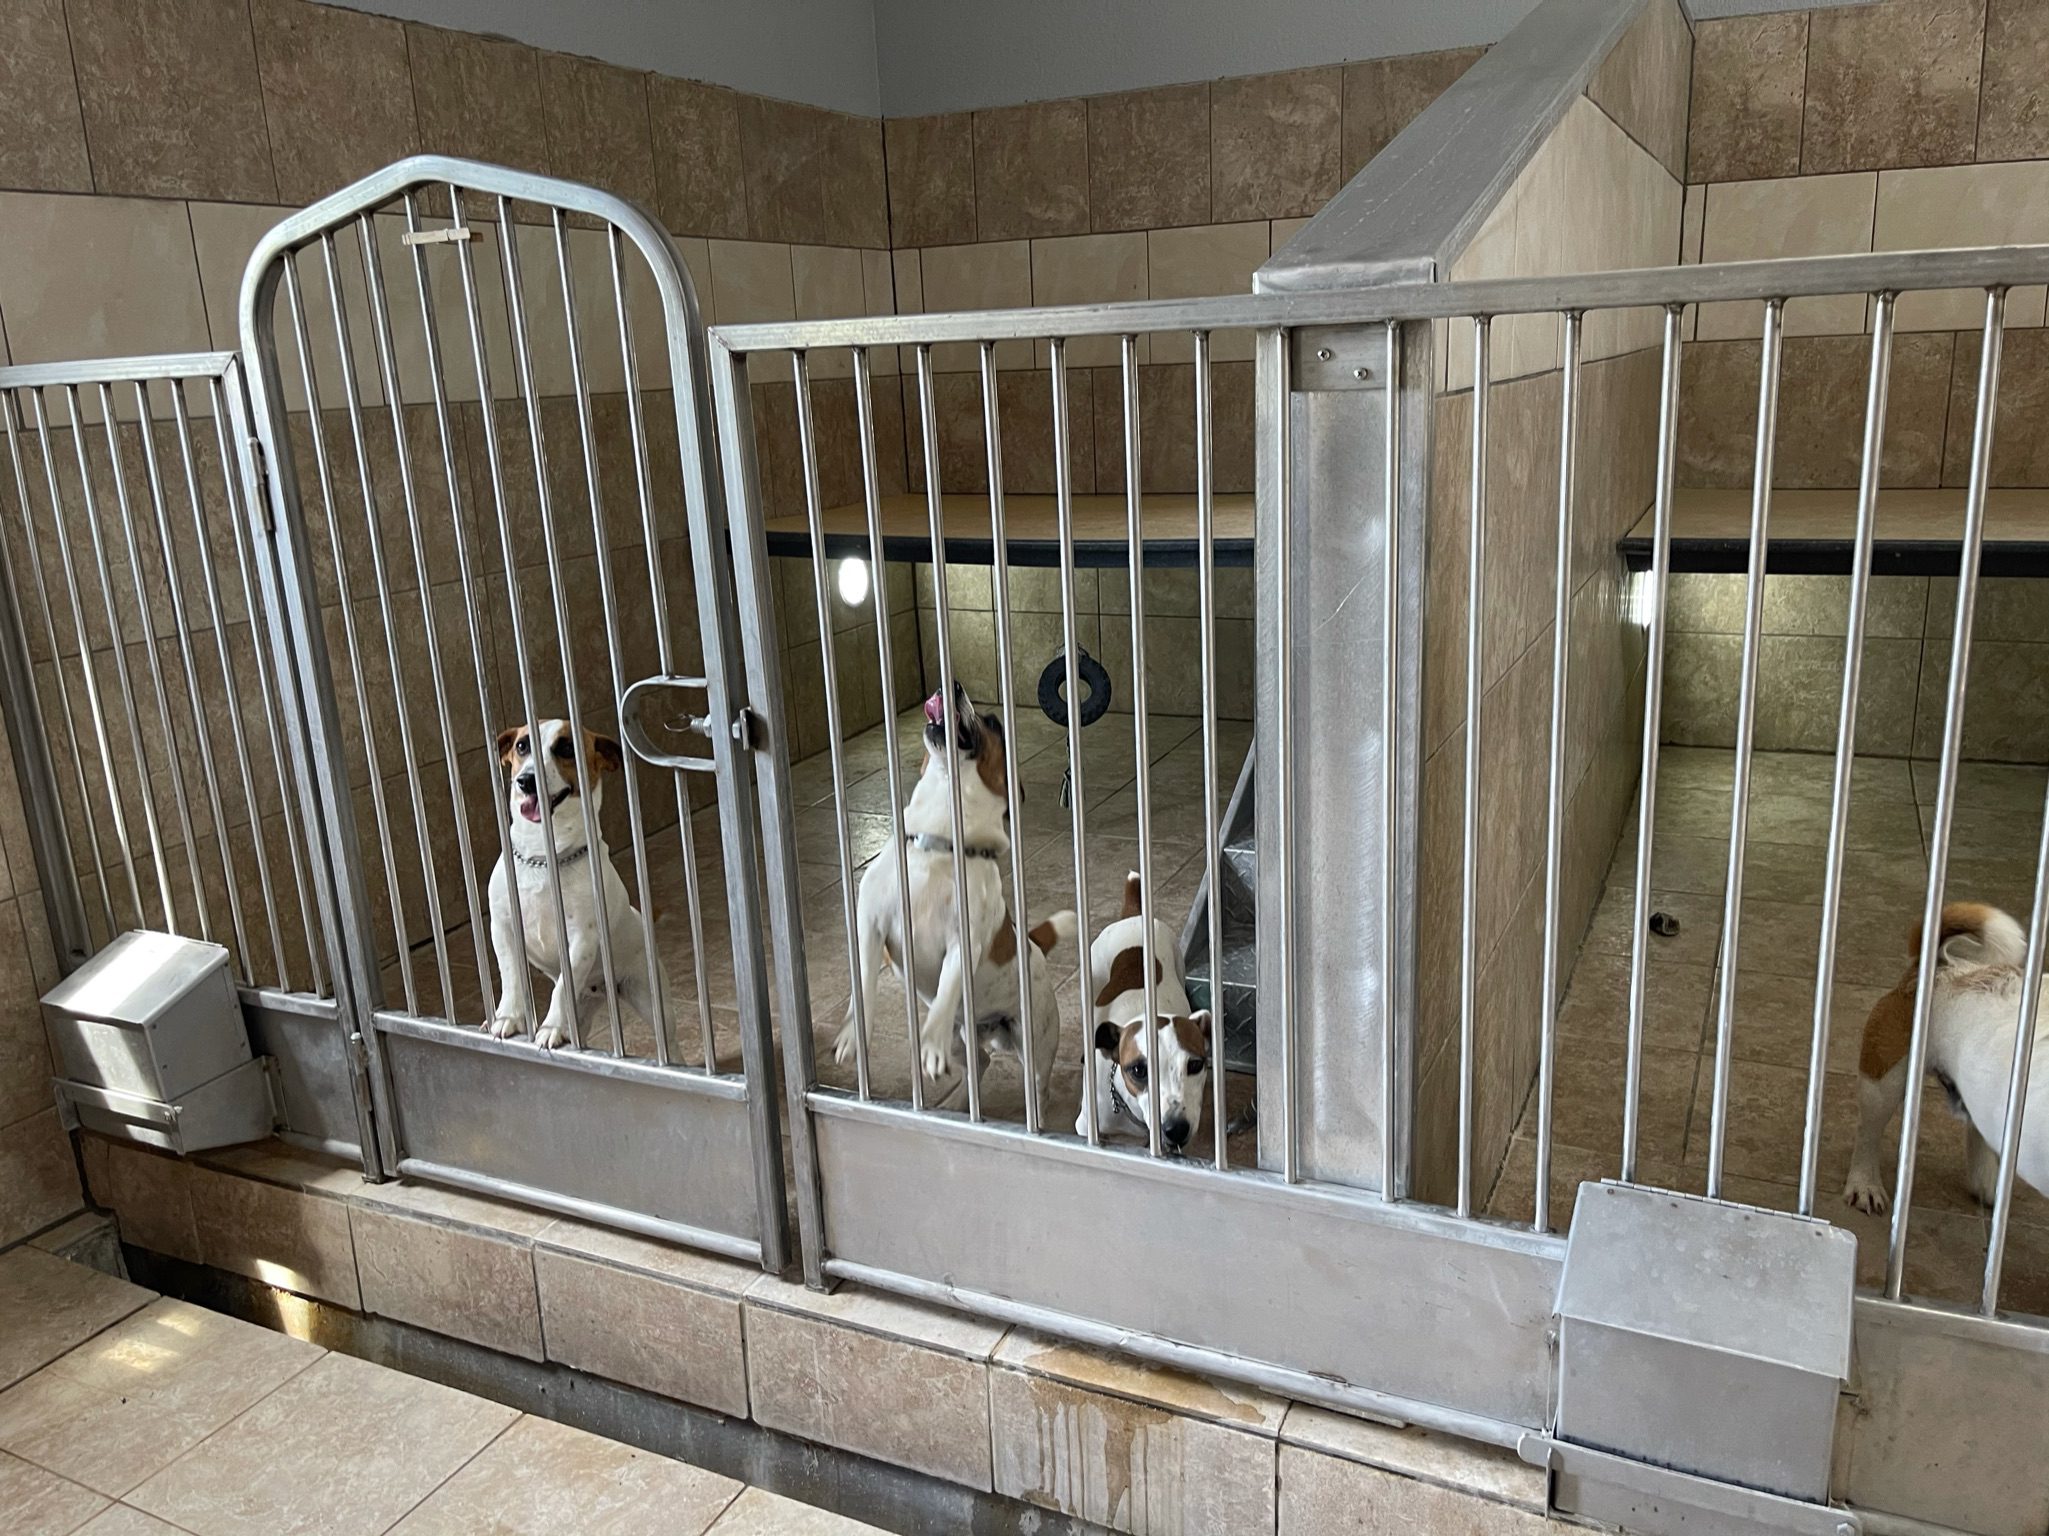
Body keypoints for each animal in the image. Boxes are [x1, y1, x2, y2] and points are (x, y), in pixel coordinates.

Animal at [479, 720, 672, 1056]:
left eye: (567, 748)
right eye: (521, 746)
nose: (526, 781)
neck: (544, 857)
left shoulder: (582, 937)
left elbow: (561, 989)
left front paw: (552, 1027)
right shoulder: (503, 928)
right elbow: (511, 976)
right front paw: (507, 1017)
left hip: (650, 998)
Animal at [835, 684, 1081, 1105]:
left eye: (994, 722)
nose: (949, 686)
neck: (941, 842)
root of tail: (1032, 944)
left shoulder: (963, 941)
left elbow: (948, 988)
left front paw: (930, 1047)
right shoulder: (870, 927)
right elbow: (863, 986)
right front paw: (853, 1036)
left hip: (1033, 1040)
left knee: (1035, 1083)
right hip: (962, 1038)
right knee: (979, 1062)